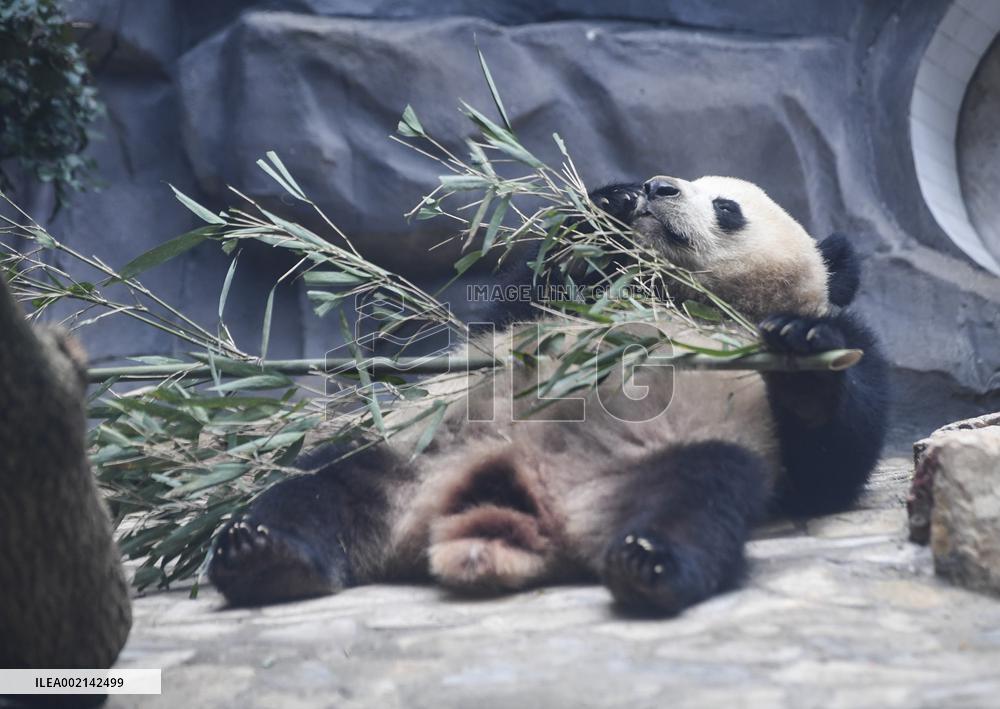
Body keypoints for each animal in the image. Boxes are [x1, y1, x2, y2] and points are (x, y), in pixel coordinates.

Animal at [209, 175, 889, 614]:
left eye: (727, 205)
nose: (659, 188)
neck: (675, 294)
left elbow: (831, 460)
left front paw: (800, 349)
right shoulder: (540, 314)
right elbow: (518, 294)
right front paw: (608, 204)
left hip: (657, 458)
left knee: (702, 492)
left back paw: (649, 564)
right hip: (415, 449)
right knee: (323, 484)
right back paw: (264, 555)